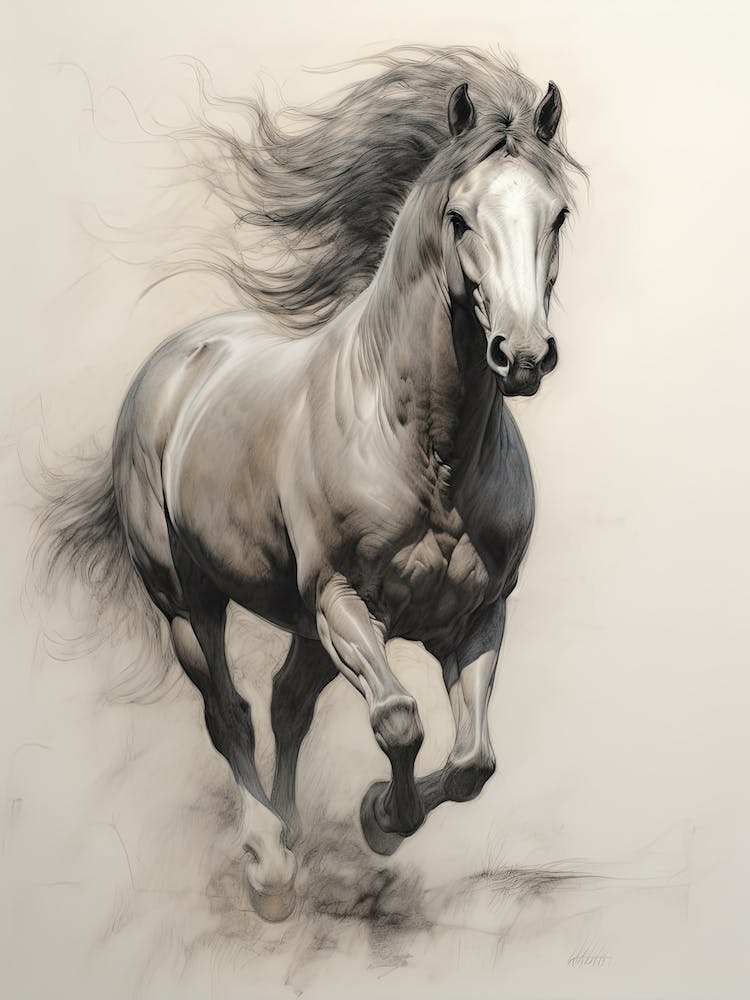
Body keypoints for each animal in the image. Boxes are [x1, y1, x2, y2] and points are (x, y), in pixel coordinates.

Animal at [39, 47, 582, 922]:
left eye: (557, 215)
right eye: (460, 217)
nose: (523, 353)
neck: (426, 452)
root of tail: (175, 361)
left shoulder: (477, 615)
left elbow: (474, 762)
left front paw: (380, 819)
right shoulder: (342, 602)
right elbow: (397, 721)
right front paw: (381, 817)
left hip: (301, 625)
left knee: (288, 702)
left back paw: (293, 839)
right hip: (188, 602)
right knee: (229, 713)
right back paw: (268, 868)